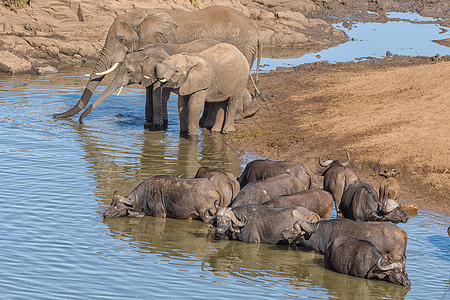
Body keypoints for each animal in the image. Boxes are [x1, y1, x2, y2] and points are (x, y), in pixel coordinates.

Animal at [54, 4, 262, 129]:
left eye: (121, 39)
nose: (55, 116)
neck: (142, 15)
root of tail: (257, 33)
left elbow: (159, 91)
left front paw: (158, 126)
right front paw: (149, 123)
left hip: (242, 48)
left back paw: (234, 117)